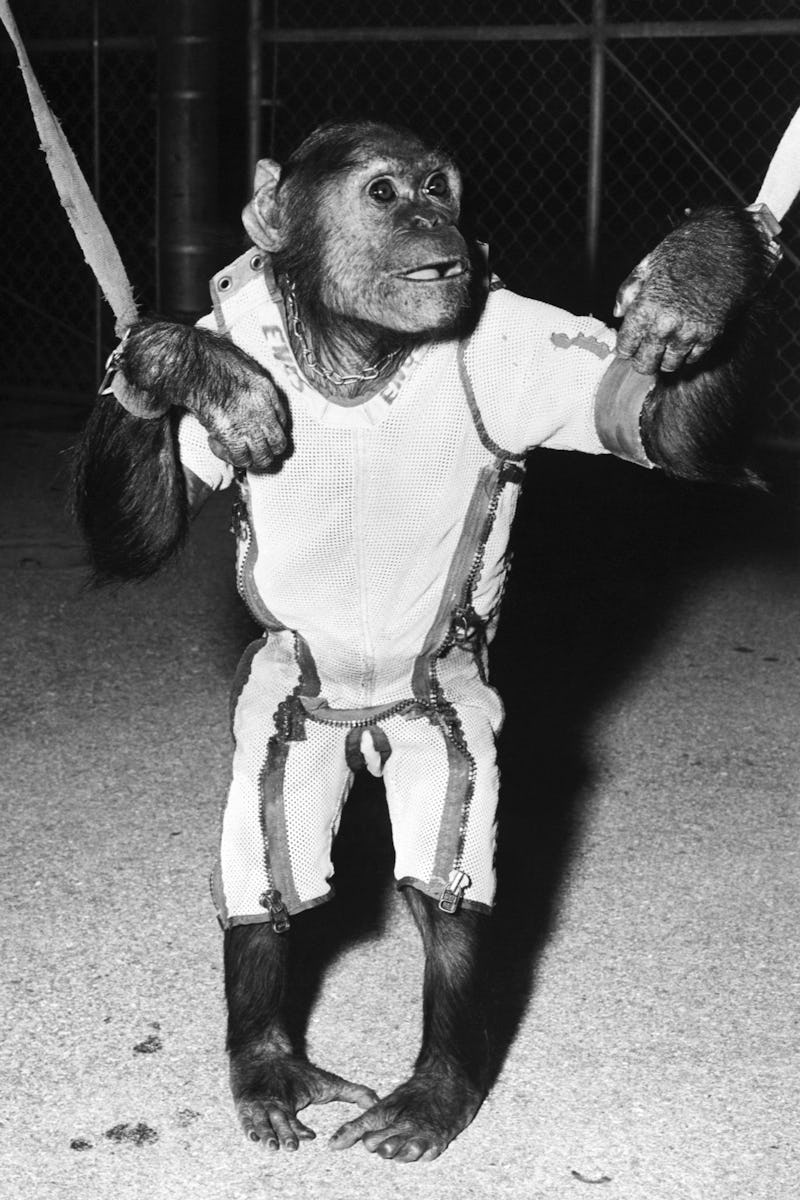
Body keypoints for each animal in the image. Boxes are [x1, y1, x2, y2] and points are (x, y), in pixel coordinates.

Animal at [72, 120, 775, 1163]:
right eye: (384, 192)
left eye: (440, 187)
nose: (431, 220)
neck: (361, 355)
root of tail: (367, 723)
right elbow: (140, 535)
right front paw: (175, 362)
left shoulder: (519, 345)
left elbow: (667, 429)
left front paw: (706, 267)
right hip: (286, 695)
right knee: (270, 847)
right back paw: (267, 1057)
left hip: (441, 699)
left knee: (445, 857)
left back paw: (438, 1083)